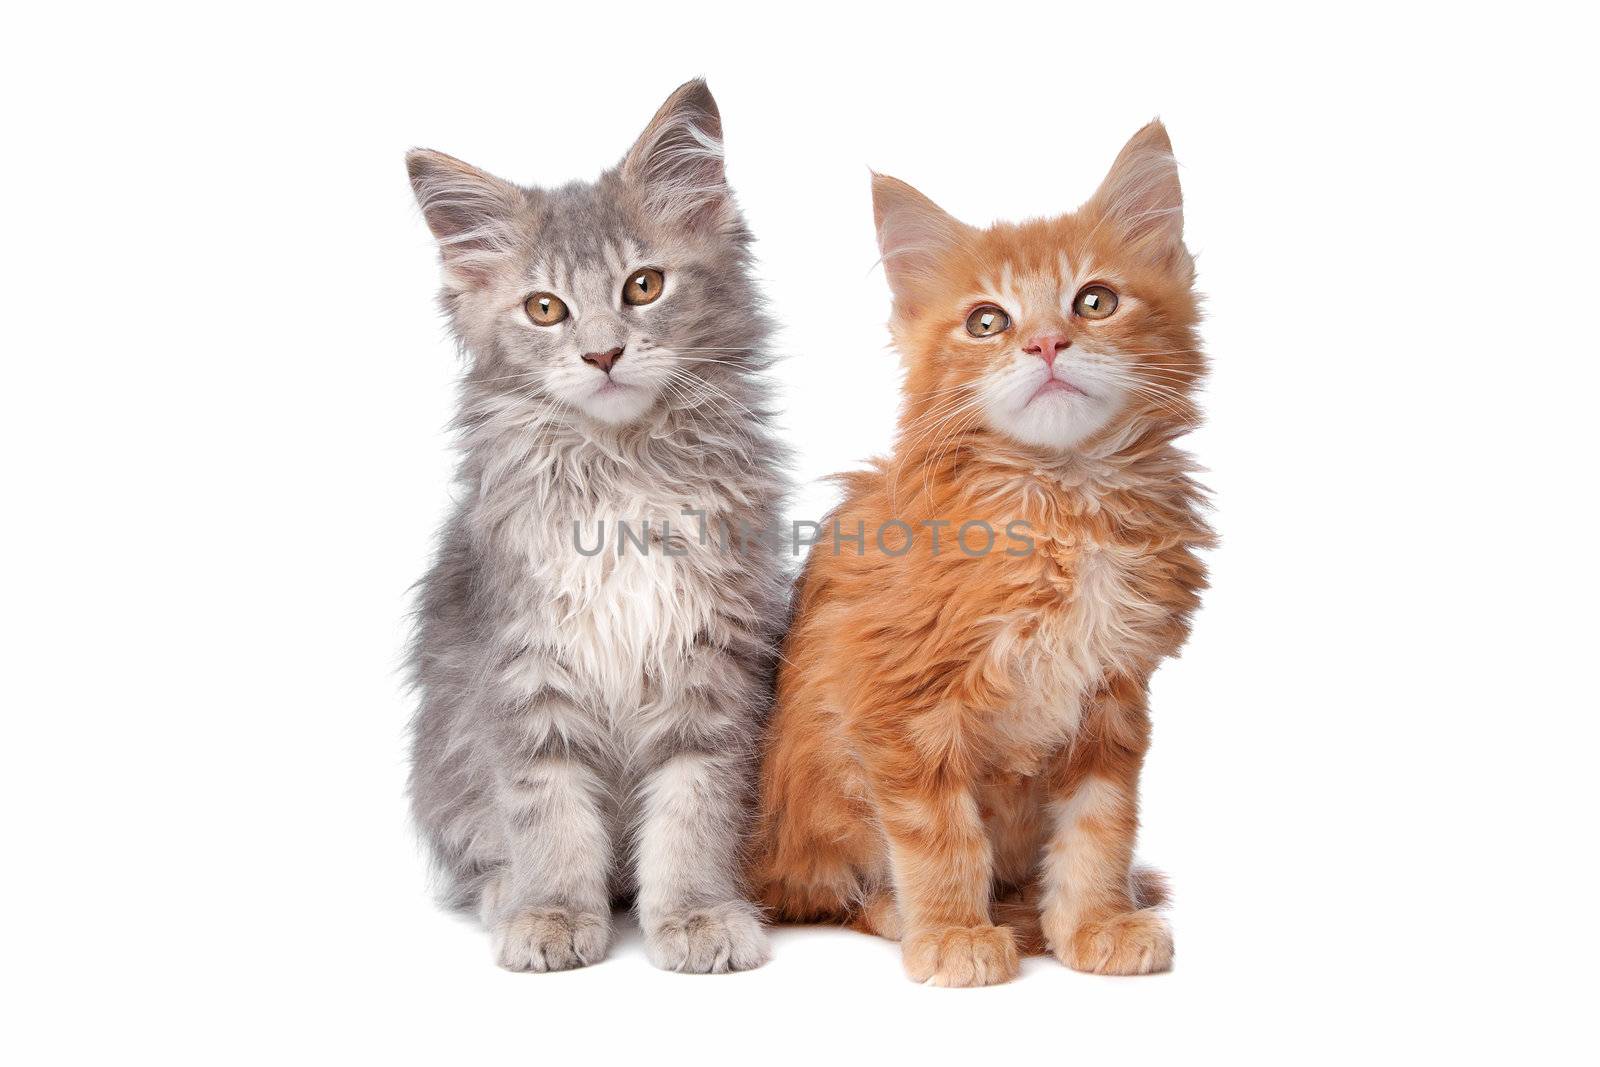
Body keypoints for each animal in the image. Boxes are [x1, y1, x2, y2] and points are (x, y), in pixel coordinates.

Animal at [406, 79, 787, 972]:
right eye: (545, 309)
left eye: (643, 286)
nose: (604, 354)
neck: (622, 475)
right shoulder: (524, 667)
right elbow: (547, 811)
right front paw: (550, 912)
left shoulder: (712, 664)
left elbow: (693, 809)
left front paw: (695, 913)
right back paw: (508, 894)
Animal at [755, 123, 1203, 985]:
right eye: (987, 322)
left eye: (1095, 300)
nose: (1047, 342)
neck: (1061, 501)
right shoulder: (898, 705)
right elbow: (939, 837)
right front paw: (954, 931)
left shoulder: (1112, 699)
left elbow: (1100, 830)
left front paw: (1094, 921)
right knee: (830, 892)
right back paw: (917, 915)